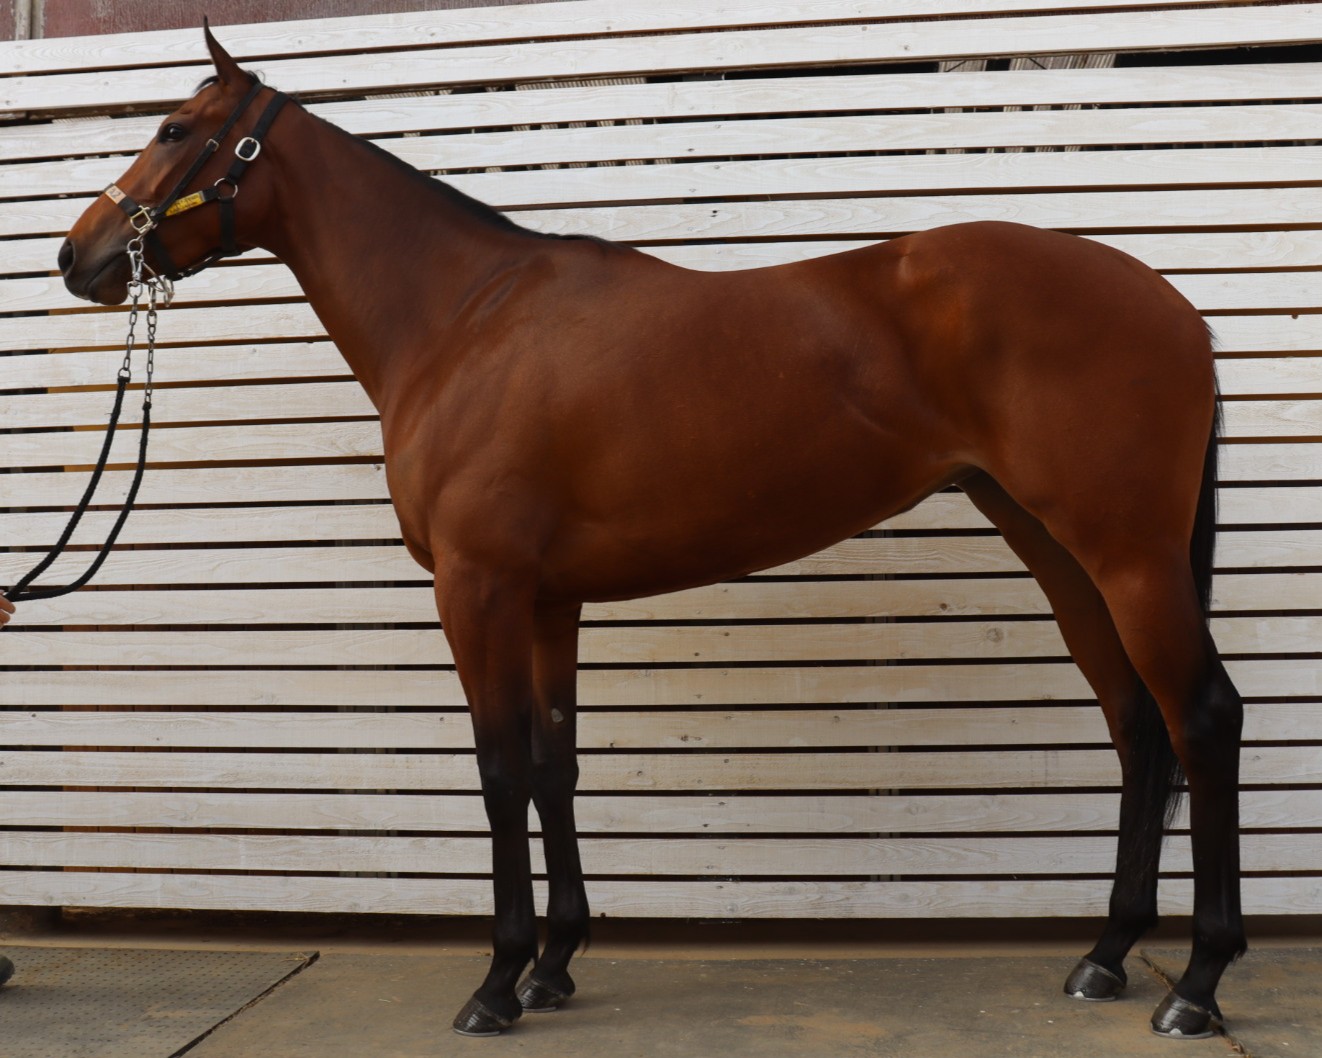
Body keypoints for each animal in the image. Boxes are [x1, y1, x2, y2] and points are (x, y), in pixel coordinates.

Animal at [58, 26, 1244, 1041]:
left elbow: (498, 768)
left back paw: (1192, 983)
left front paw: (497, 981)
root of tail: (1172, 306)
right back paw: (1104, 954)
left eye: (173, 128)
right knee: (1137, 727)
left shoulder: (477, 591)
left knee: (1201, 719)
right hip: (1060, 553)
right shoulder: (547, 600)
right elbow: (554, 765)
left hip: (1126, 557)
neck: (462, 321)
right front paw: (554, 965)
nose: (78, 257)